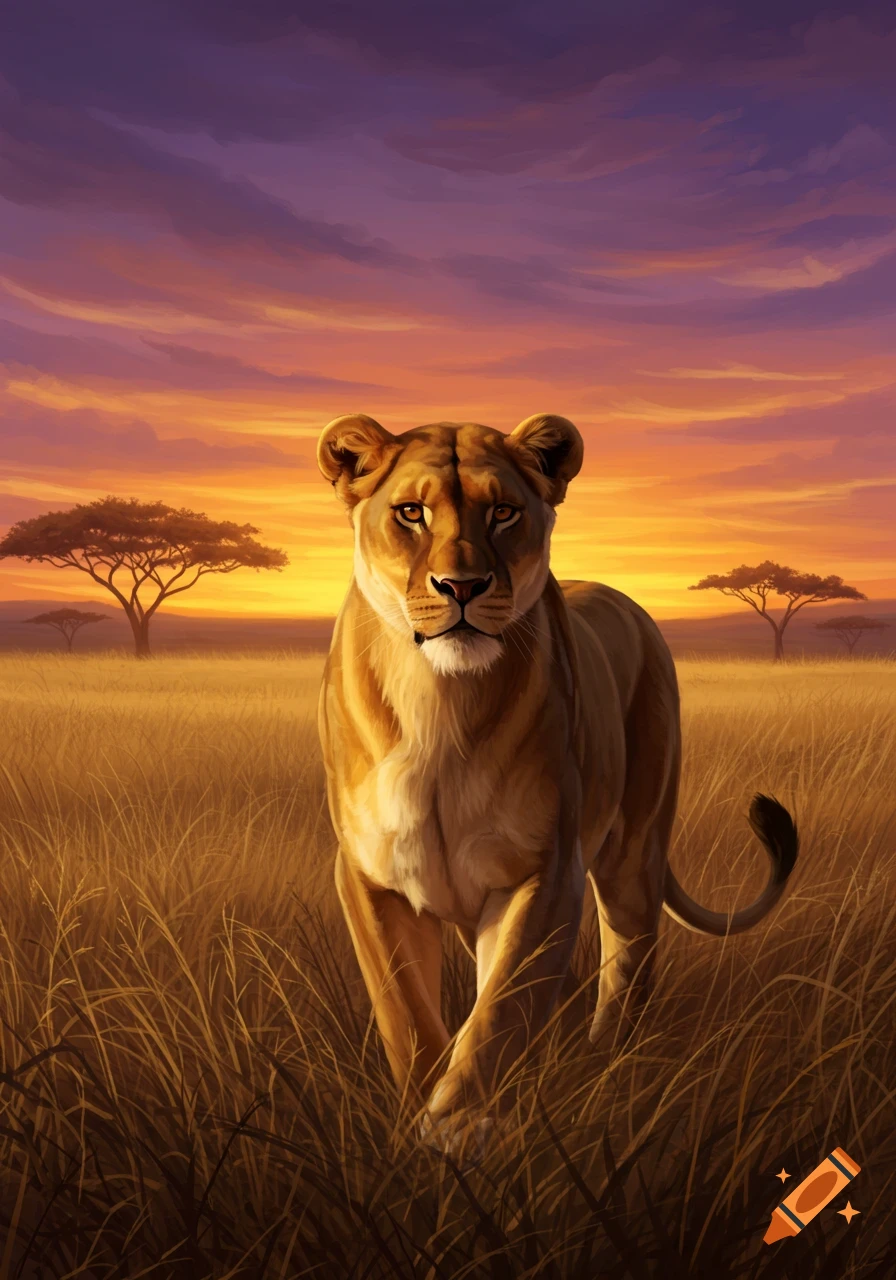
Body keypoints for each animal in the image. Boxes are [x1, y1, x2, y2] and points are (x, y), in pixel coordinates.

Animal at [316, 411, 799, 1153]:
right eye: (410, 513)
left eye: (504, 512)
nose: (462, 587)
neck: (439, 701)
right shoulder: (370, 877)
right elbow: (406, 1013)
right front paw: (422, 1123)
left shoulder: (544, 870)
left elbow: (501, 1008)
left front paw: (459, 1124)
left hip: (633, 850)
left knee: (629, 957)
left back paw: (608, 1058)